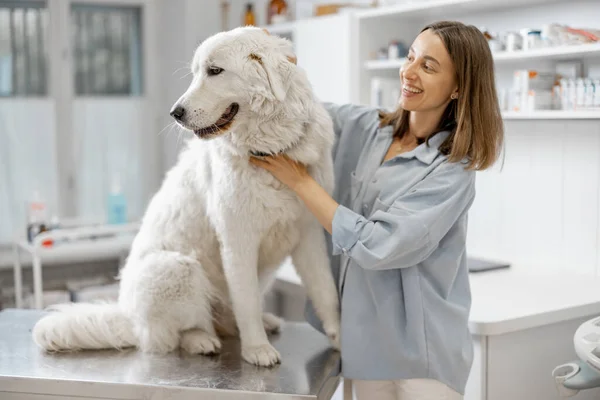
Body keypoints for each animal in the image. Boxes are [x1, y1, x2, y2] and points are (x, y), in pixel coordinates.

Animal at [32, 26, 340, 368]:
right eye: (196, 73)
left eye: (214, 71)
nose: (175, 113)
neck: (271, 149)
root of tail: (129, 317)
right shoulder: (238, 241)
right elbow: (246, 302)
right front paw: (256, 349)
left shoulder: (308, 236)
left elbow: (325, 292)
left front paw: (340, 338)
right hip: (179, 269)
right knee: (171, 334)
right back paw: (202, 340)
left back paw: (262, 321)